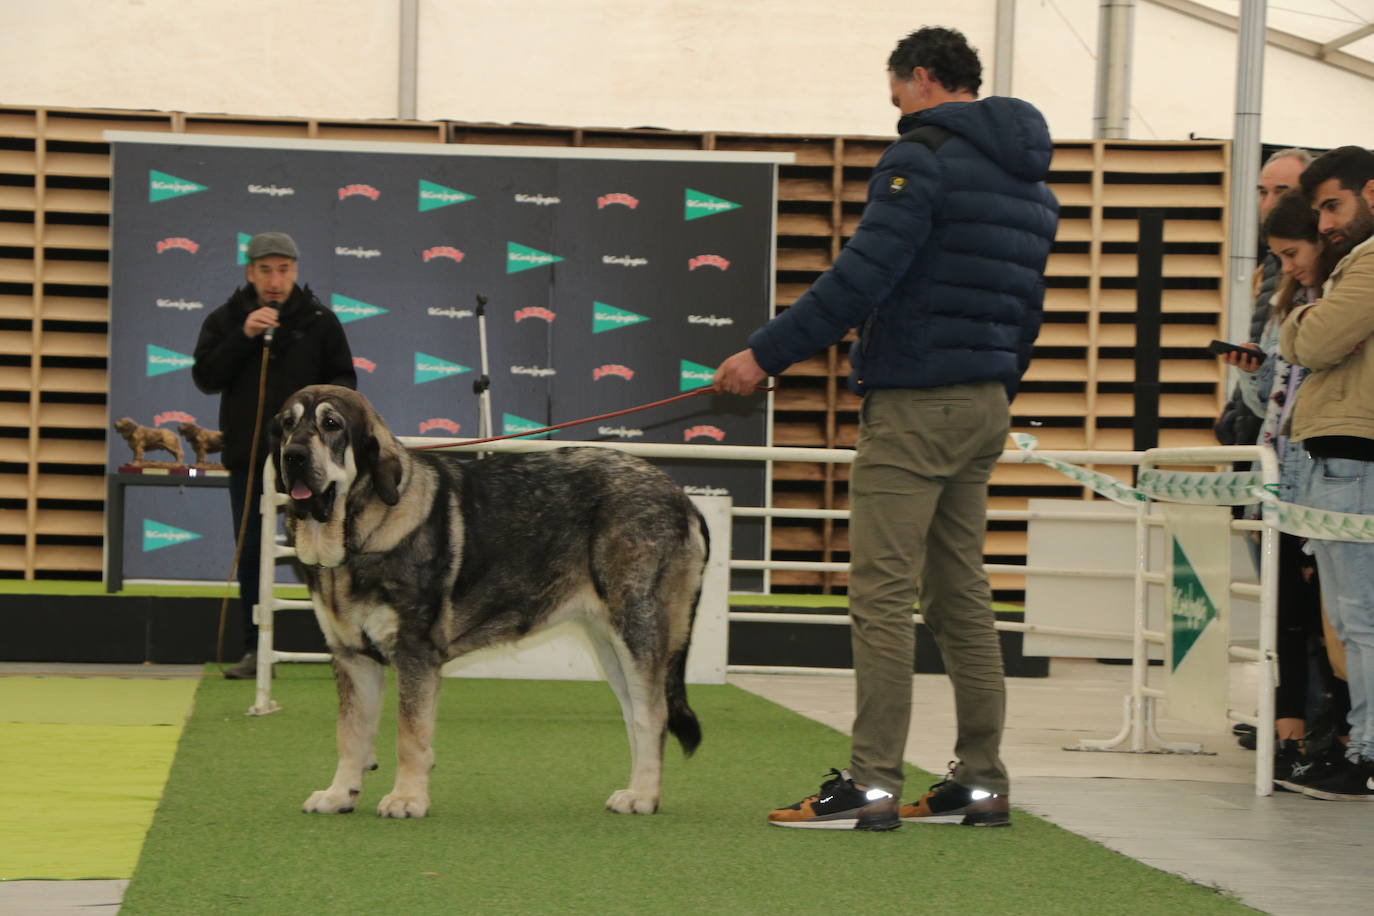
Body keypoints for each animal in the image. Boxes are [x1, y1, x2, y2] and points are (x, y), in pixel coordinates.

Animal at [266, 384, 703, 818]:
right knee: (635, 714)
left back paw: (644, 796)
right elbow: (351, 733)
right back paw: (635, 789)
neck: (359, 531)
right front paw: (340, 793)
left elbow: (409, 734)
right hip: (609, 644)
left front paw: (407, 798)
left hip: (637, 628)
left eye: (331, 424)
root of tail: (682, 498)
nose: (293, 456)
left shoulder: (415, 652)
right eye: (287, 424)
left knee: (653, 715)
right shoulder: (352, 657)